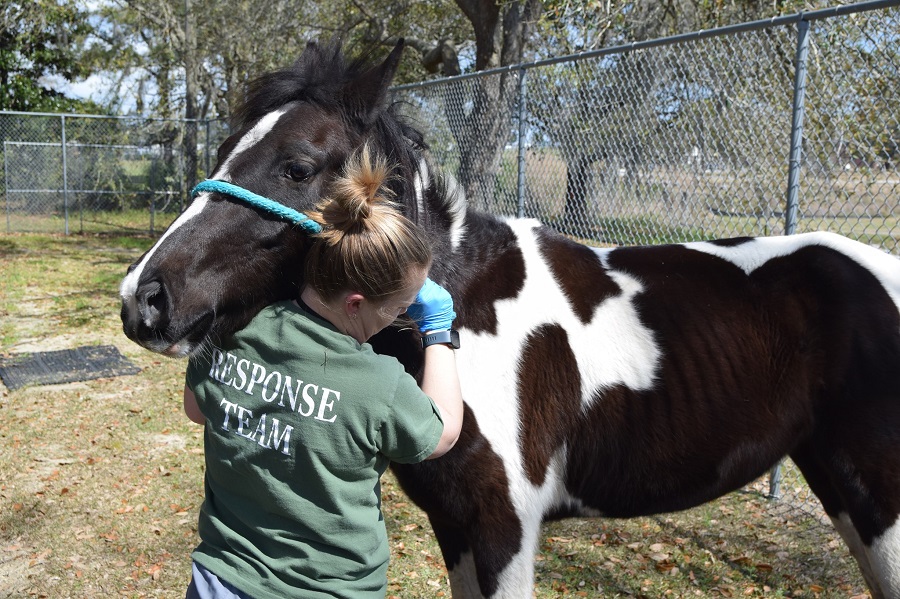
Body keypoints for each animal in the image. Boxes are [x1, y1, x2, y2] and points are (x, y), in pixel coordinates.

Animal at [119, 39, 900, 596]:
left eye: (297, 167)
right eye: (225, 151)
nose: (144, 298)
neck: (464, 314)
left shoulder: (504, 530)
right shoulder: (458, 528)